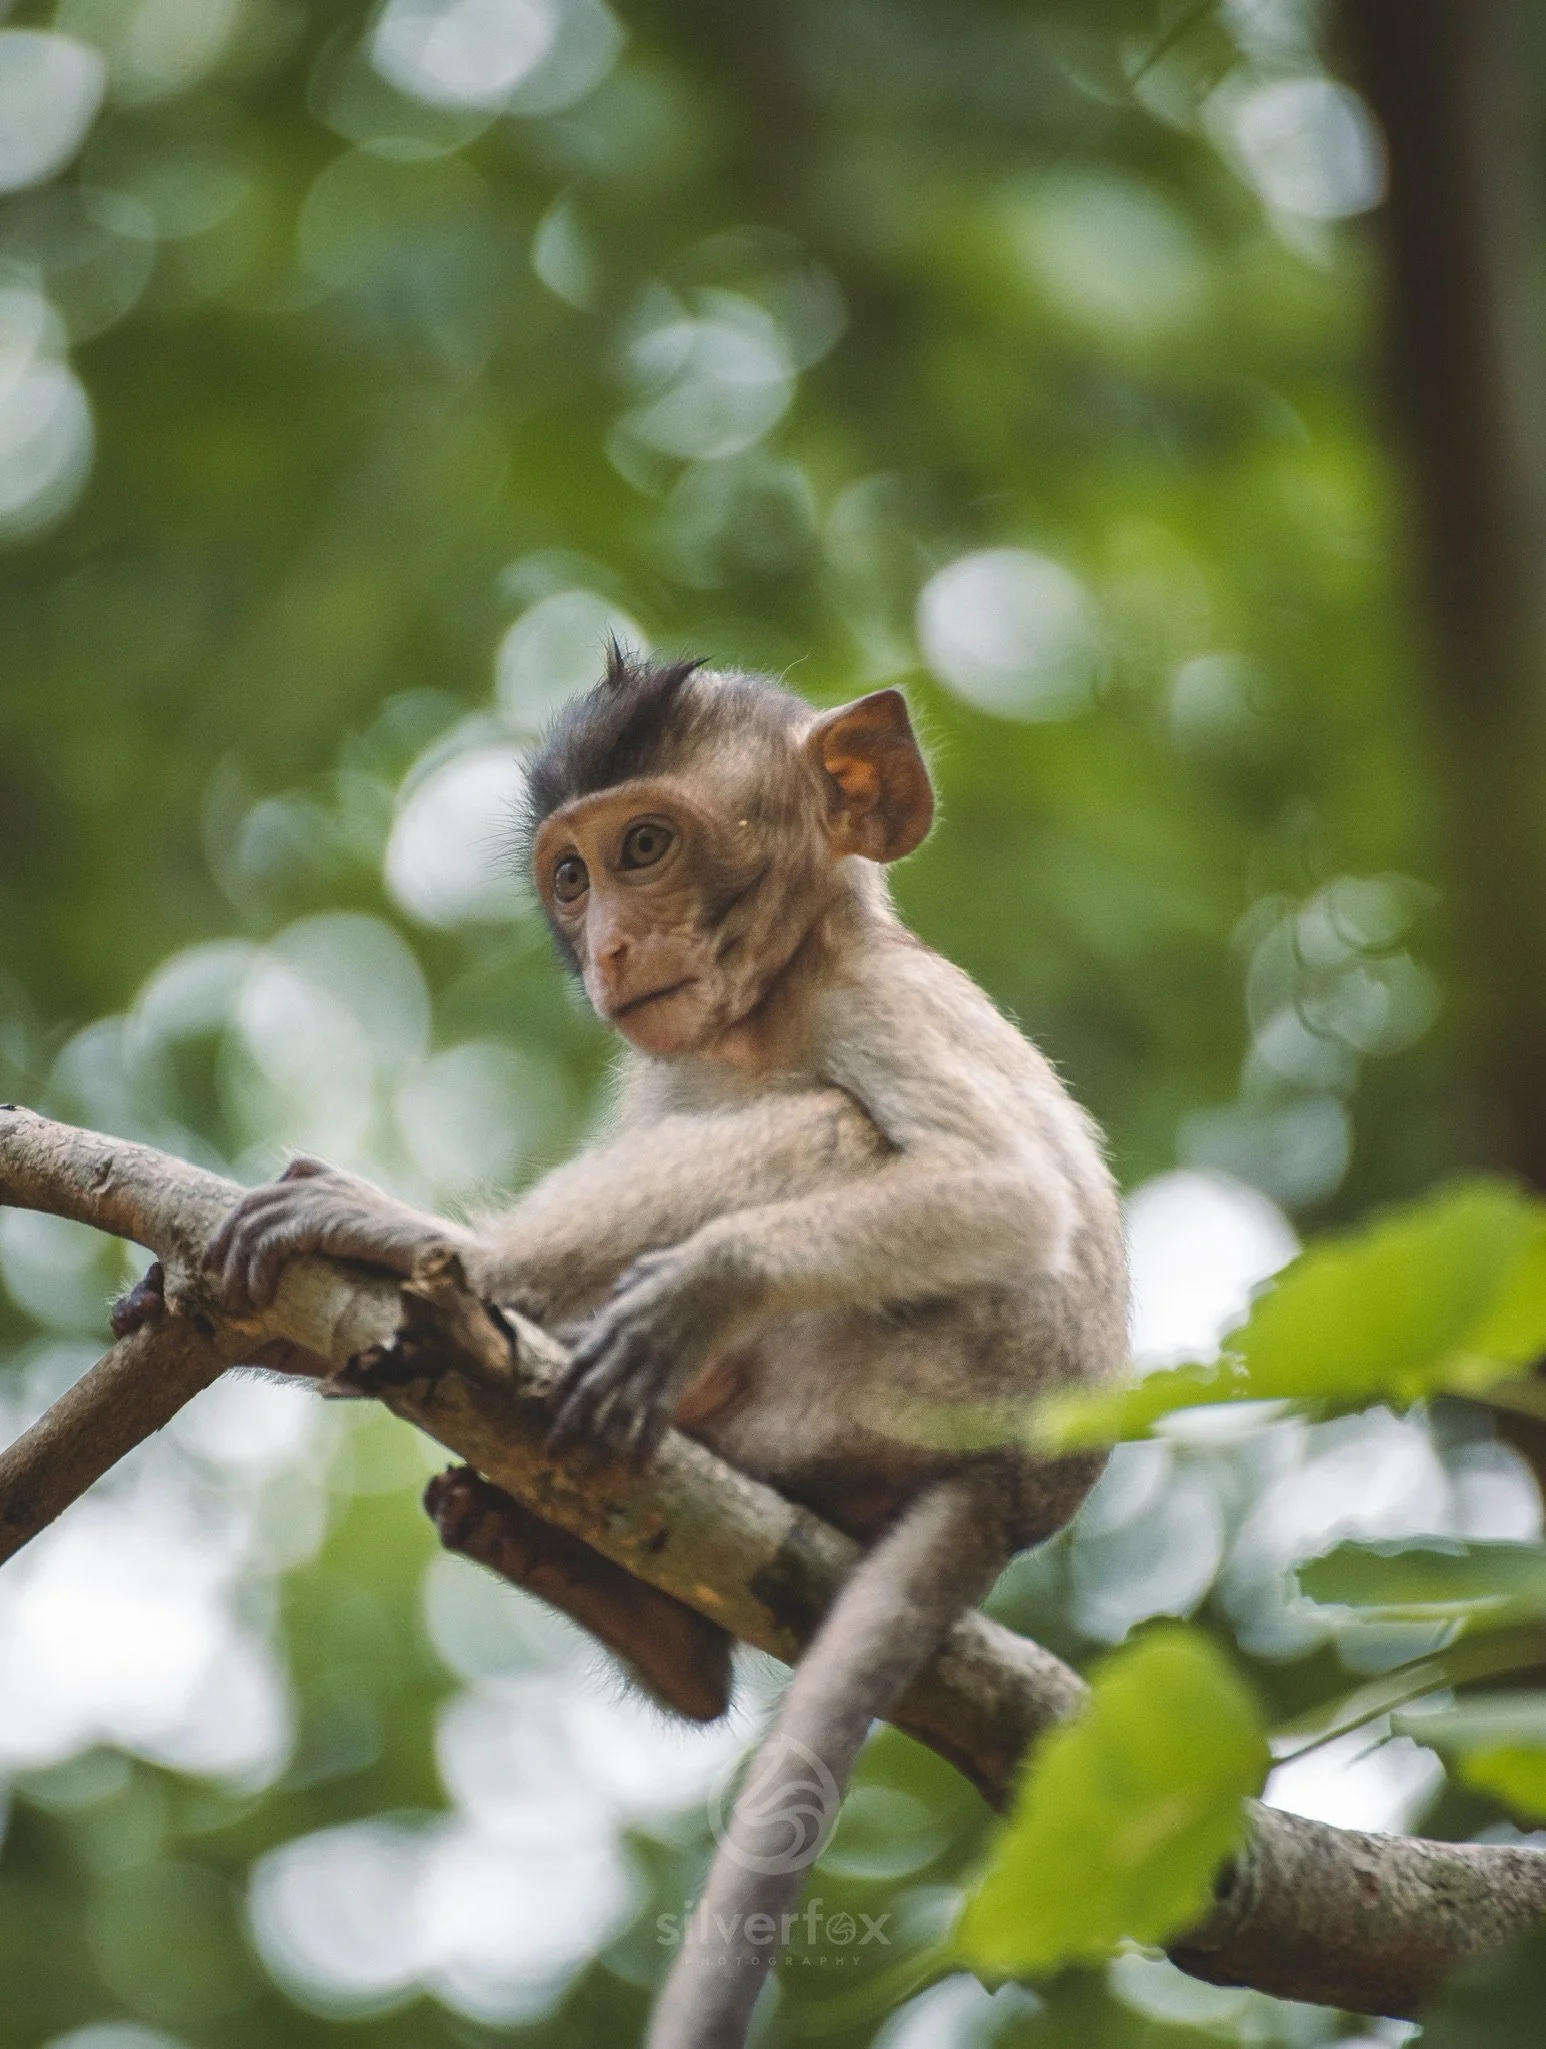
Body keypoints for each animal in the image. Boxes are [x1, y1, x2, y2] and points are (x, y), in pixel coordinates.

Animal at [181, 651, 1128, 2049]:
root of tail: (1014, 1493)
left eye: (645, 846)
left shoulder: (878, 998)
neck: (769, 1000)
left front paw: (689, 1293)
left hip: (908, 1380)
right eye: (571, 877)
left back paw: (442, 1263)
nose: (611, 946)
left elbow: (1007, 1194)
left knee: (832, 1129)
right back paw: (636, 1619)